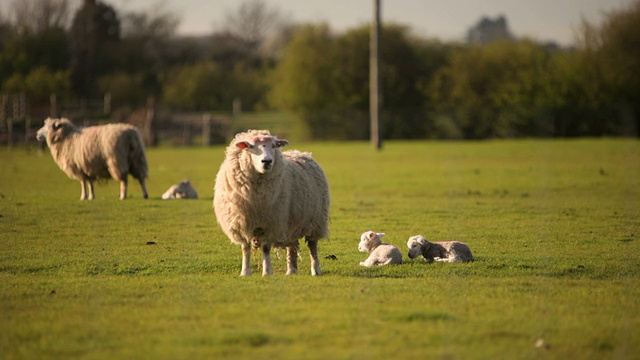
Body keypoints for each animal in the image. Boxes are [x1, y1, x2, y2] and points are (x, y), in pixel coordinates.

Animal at [212, 131, 330, 278]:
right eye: (251, 146)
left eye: (273, 145)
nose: (267, 161)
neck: (256, 199)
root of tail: (302, 153)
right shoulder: (241, 223)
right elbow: (245, 248)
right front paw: (245, 272)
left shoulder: (270, 223)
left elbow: (266, 248)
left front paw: (267, 272)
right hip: (290, 222)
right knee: (292, 246)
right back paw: (291, 271)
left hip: (315, 221)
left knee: (312, 246)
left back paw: (316, 270)